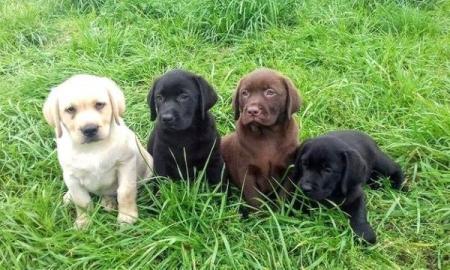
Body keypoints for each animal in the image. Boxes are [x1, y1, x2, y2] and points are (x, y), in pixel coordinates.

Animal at [44, 74, 153, 230]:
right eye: (70, 109)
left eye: (99, 104)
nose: (89, 129)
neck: (92, 148)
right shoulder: (71, 176)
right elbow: (81, 201)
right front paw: (83, 222)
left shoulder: (126, 164)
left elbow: (125, 191)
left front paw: (127, 217)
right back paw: (70, 197)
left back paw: (109, 203)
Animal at [221, 67, 302, 213]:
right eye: (245, 93)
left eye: (270, 92)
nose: (252, 111)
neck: (267, 134)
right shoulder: (246, 171)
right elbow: (254, 198)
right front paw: (260, 216)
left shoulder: (290, 169)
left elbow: (284, 194)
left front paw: (280, 214)